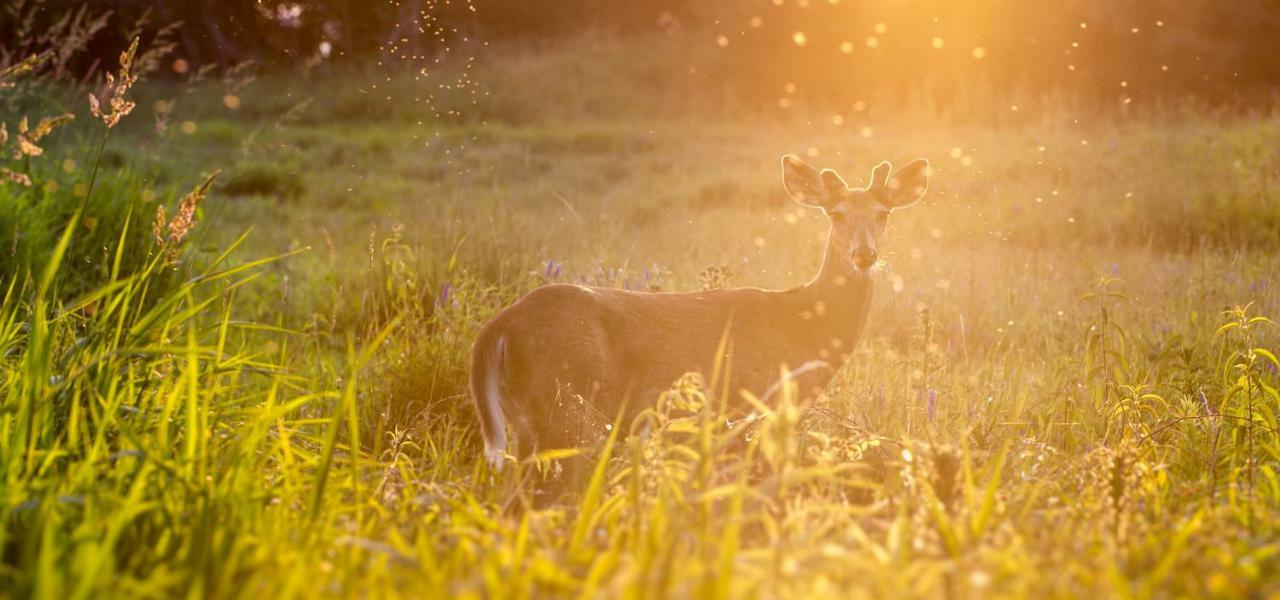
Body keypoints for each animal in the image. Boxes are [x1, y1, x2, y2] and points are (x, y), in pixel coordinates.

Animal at [471, 152, 931, 475]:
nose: (864, 255)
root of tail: (497, 328)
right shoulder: (751, 403)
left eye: (884, 213)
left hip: (526, 418)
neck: (801, 324)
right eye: (836, 214)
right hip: (563, 404)